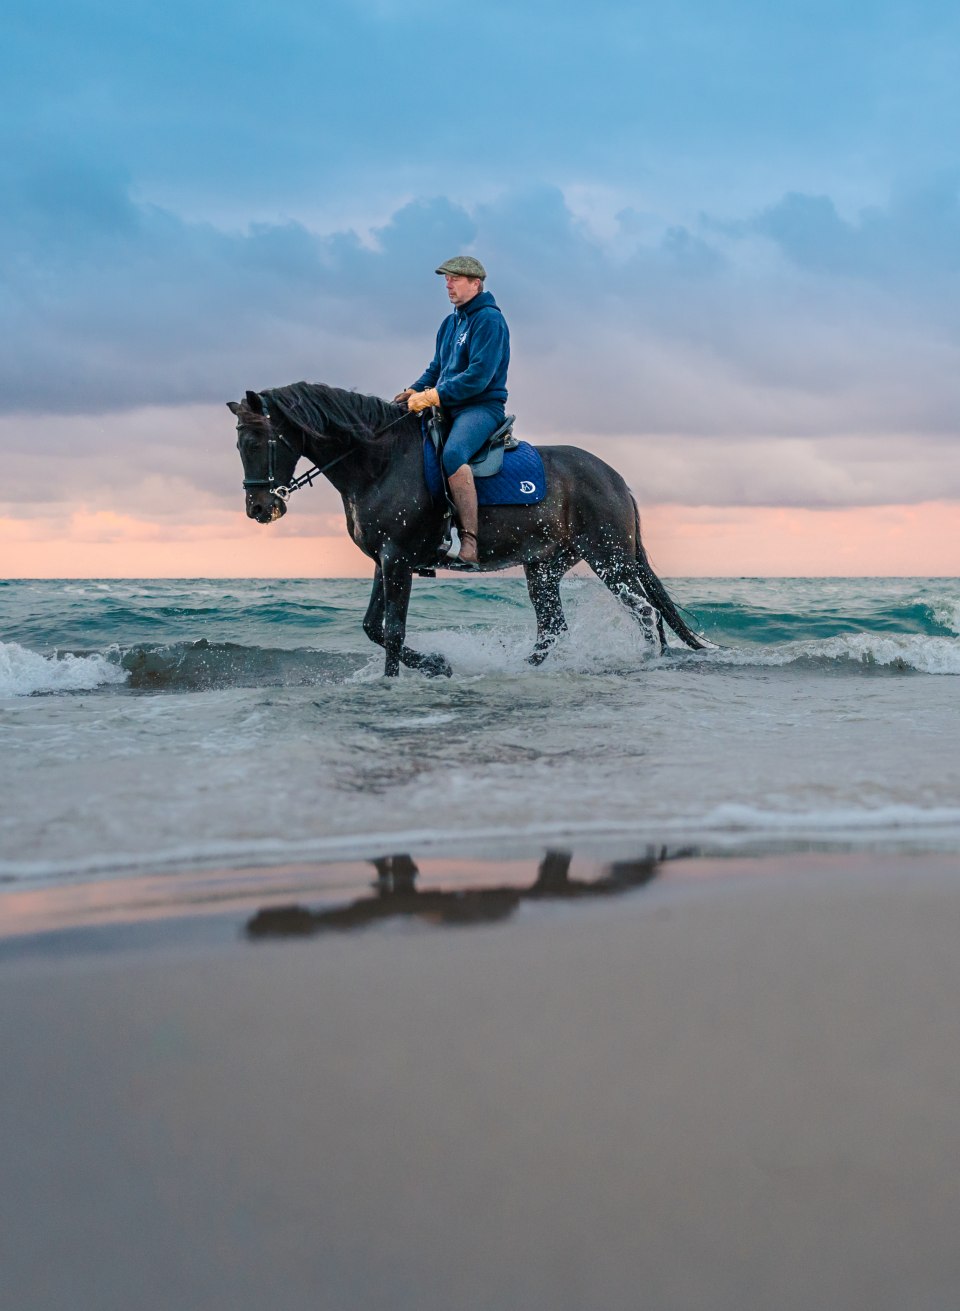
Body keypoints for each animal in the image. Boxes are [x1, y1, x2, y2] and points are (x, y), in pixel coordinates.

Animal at [228, 382, 702, 676]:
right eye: (238, 444)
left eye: (259, 442)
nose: (259, 508)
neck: (380, 463)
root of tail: (615, 478)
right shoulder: (385, 560)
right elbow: (372, 627)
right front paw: (437, 665)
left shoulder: (397, 558)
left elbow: (393, 631)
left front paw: (398, 680)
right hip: (545, 567)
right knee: (553, 626)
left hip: (610, 560)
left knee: (644, 612)